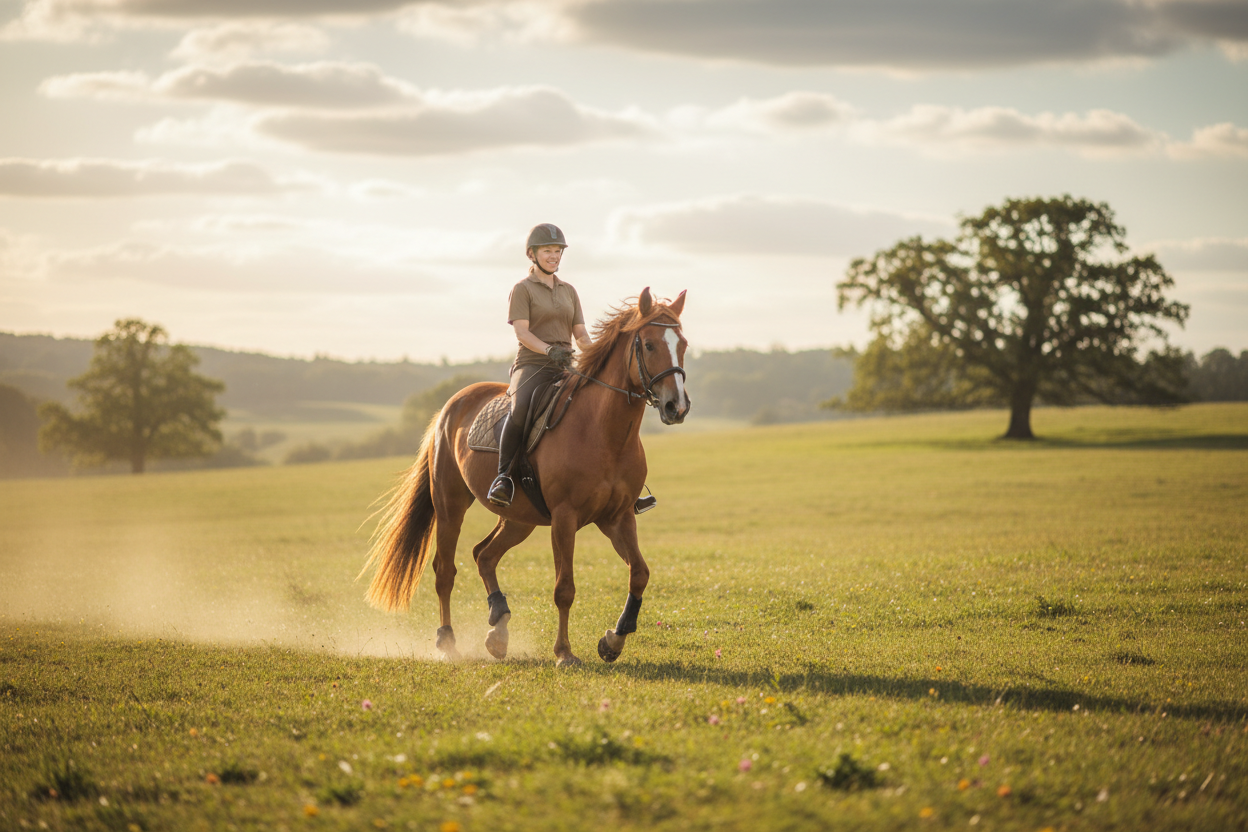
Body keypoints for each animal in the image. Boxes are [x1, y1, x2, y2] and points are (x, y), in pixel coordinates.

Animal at [360, 287, 690, 666]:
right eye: (649, 345)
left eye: (683, 344)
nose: (676, 407)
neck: (604, 431)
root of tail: (451, 405)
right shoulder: (565, 518)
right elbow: (564, 588)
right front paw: (564, 652)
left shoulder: (617, 517)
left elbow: (640, 574)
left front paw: (613, 640)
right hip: (450, 507)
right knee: (445, 571)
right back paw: (448, 641)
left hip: (519, 519)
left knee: (484, 555)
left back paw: (499, 629)